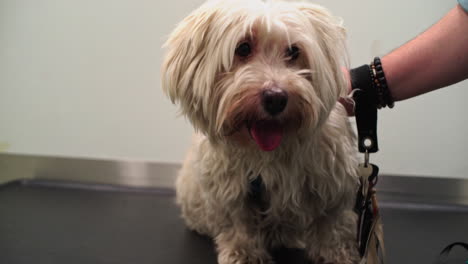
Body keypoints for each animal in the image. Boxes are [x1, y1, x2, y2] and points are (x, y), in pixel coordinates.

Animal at [163, 1, 360, 262]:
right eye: (243, 48)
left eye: (294, 51)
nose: (276, 98)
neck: (269, 154)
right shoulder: (230, 188)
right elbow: (239, 223)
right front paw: (244, 253)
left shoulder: (333, 182)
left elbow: (332, 224)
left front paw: (338, 254)